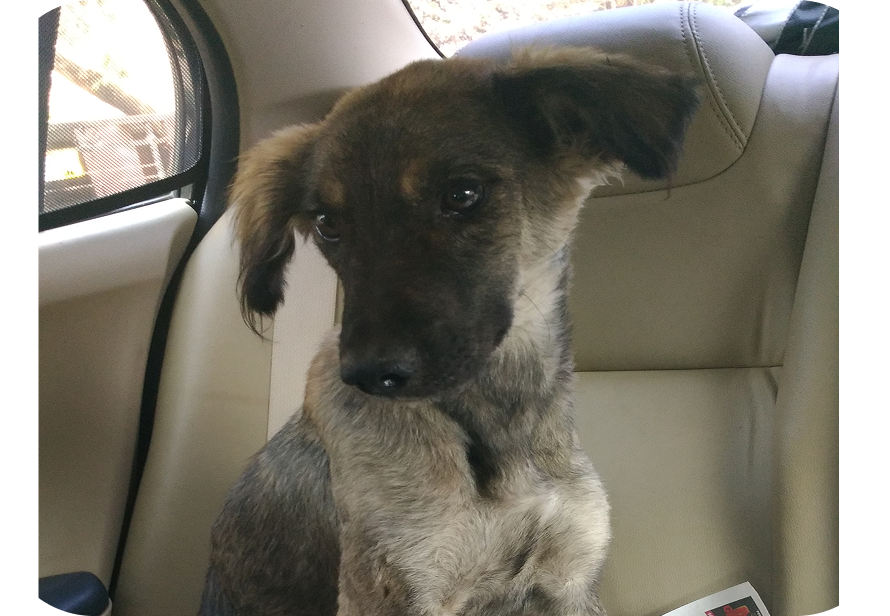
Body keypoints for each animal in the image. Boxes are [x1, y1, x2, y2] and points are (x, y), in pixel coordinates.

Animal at [199, 47, 699, 616]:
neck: (502, 427)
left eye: (462, 193)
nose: (368, 374)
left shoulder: (569, 580)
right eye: (328, 223)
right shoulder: (394, 588)